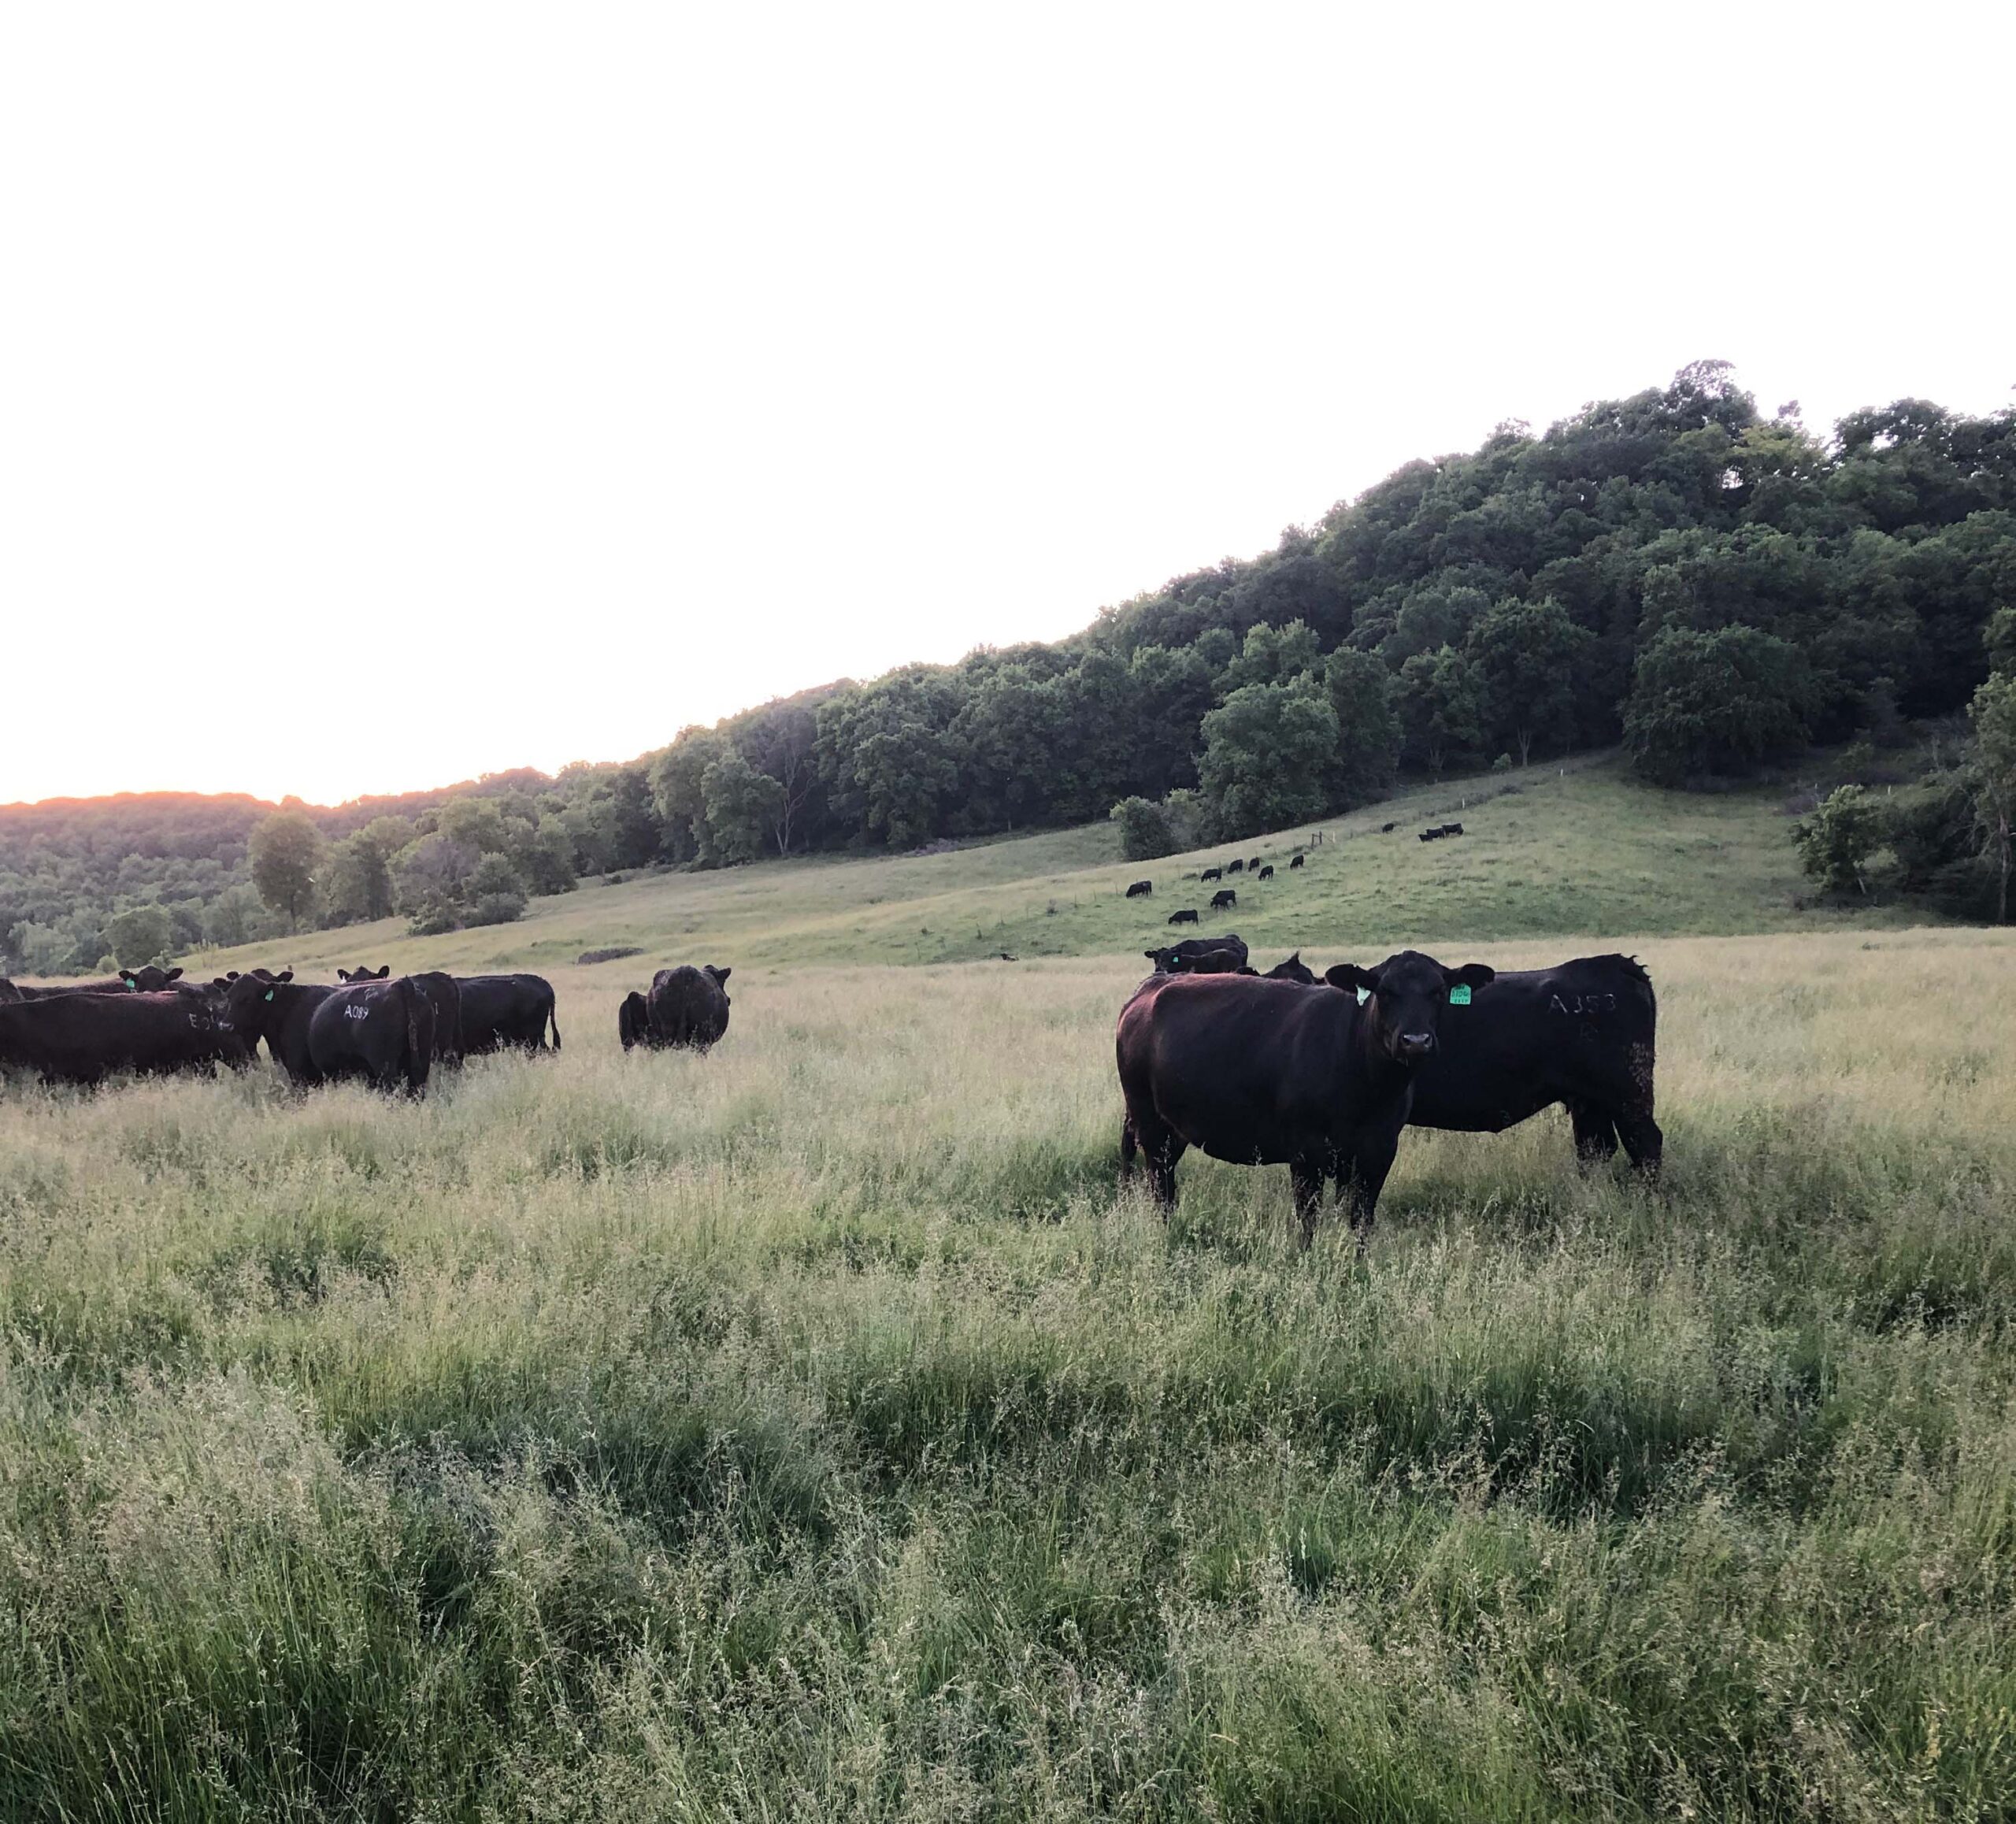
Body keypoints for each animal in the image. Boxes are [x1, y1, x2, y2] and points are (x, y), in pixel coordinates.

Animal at [220, 967, 433, 1096]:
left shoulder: (300, 1074)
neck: (288, 1007)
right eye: (229, 996)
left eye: (247, 999)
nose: (225, 1026)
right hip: (420, 1063)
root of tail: (400, 985)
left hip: (385, 1069)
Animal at [1121, 955, 1499, 1241]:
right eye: (1384, 991)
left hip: (1174, 1128)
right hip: (1149, 1121)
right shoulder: (1306, 1153)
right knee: (1159, 1182)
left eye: (1439, 991)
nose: (1416, 1041)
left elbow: (1361, 1219)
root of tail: (1147, 991)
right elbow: (1308, 1219)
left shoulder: (1378, 1152)